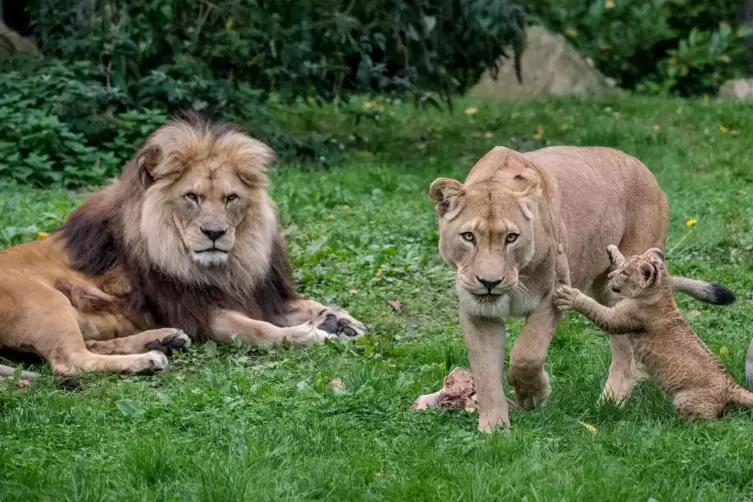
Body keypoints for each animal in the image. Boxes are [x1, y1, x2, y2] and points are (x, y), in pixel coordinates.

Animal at [0, 113, 366, 376]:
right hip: (47, 302)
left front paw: (339, 319)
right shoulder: (199, 312)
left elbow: (306, 305)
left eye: (231, 198)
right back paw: (147, 360)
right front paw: (312, 334)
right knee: (70, 361)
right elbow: (259, 329)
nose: (214, 232)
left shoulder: (258, 293)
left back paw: (164, 340)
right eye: (192, 197)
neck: (228, 265)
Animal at [428, 145, 736, 432]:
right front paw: (494, 429)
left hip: (625, 287)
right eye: (469, 237)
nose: (489, 282)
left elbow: (527, 355)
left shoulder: (552, 295)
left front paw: (533, 396)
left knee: (624, 352)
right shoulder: (477, 312)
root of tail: (643, 168)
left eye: (511, 237)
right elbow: (485, 372)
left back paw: (610, 403)